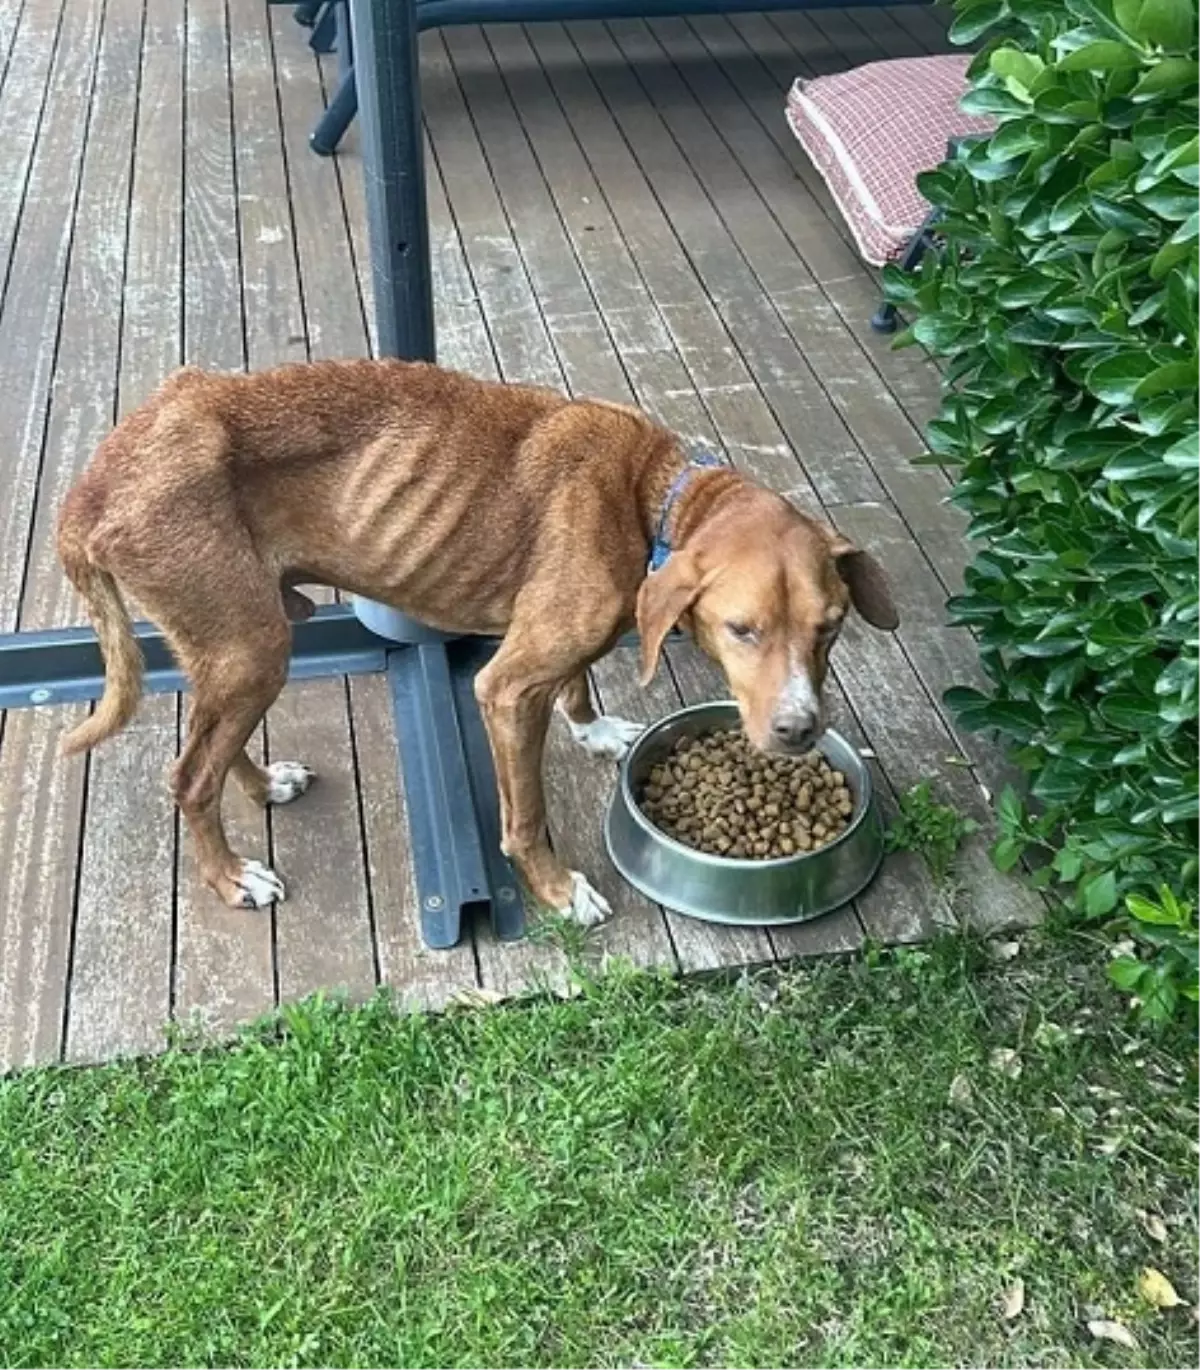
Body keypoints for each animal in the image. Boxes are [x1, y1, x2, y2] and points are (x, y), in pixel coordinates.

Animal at [58, 358, 898, 926]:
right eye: (742, 630)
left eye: (830, 627)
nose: (799, 731)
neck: (649, 499)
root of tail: (94, 483)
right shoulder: (506, 689)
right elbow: (523, 817)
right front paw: (556, 890)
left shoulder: (558, 645)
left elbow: (579, 678)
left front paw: (593, 730)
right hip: (250, 647)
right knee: (187, 776)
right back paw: (233, 878)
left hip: (245, 644)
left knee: (211, 746)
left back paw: (266, 786)